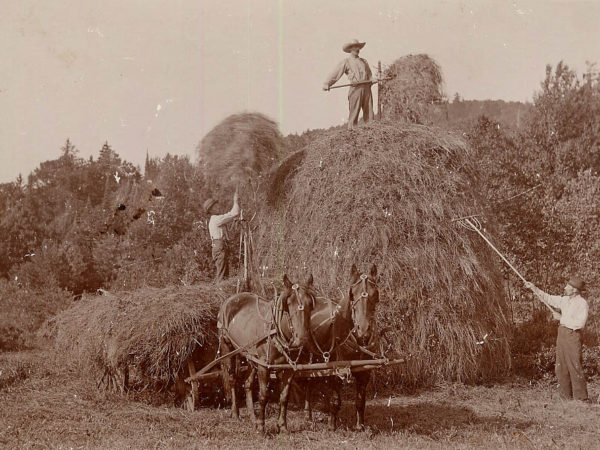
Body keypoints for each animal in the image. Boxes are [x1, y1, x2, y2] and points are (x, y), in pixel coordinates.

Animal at [218, 272, 316, 434]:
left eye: (310, 303)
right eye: (289, 304)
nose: (302, 339)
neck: (276, 330)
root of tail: (230, 299)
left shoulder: (288, 369)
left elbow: (284, 397)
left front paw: (282, 426)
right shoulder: (264, 367)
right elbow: (263, 396)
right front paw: (262, 426)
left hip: (251, 357)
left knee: (247, 384)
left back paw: (252, 416)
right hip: (228, 347)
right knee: (232, 379)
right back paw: (236, 413)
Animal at [302, 262, 382, 430]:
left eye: (376, 294)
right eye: (352, 294)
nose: (363, 330)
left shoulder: (365, 371)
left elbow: (360, 401)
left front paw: (360, 426)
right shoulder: (335, 370)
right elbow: (335, 400)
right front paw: (332, 425)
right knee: (308, 382)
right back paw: (308, 415)